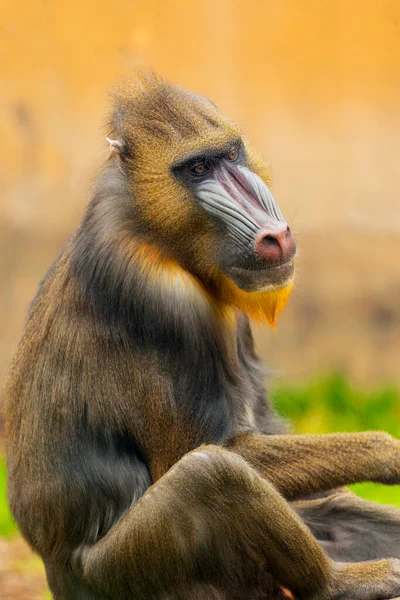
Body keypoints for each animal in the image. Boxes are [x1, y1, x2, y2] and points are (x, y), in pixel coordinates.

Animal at [3, 75, 400, 600]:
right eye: (197, 169)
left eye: (231, 155)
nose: (276, 236)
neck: (159, 234)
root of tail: (58, 575)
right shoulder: (155, 296)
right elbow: (217, 451)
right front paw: (392, 453)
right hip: (135, 572)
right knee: (210, 475)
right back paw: (343, 582)